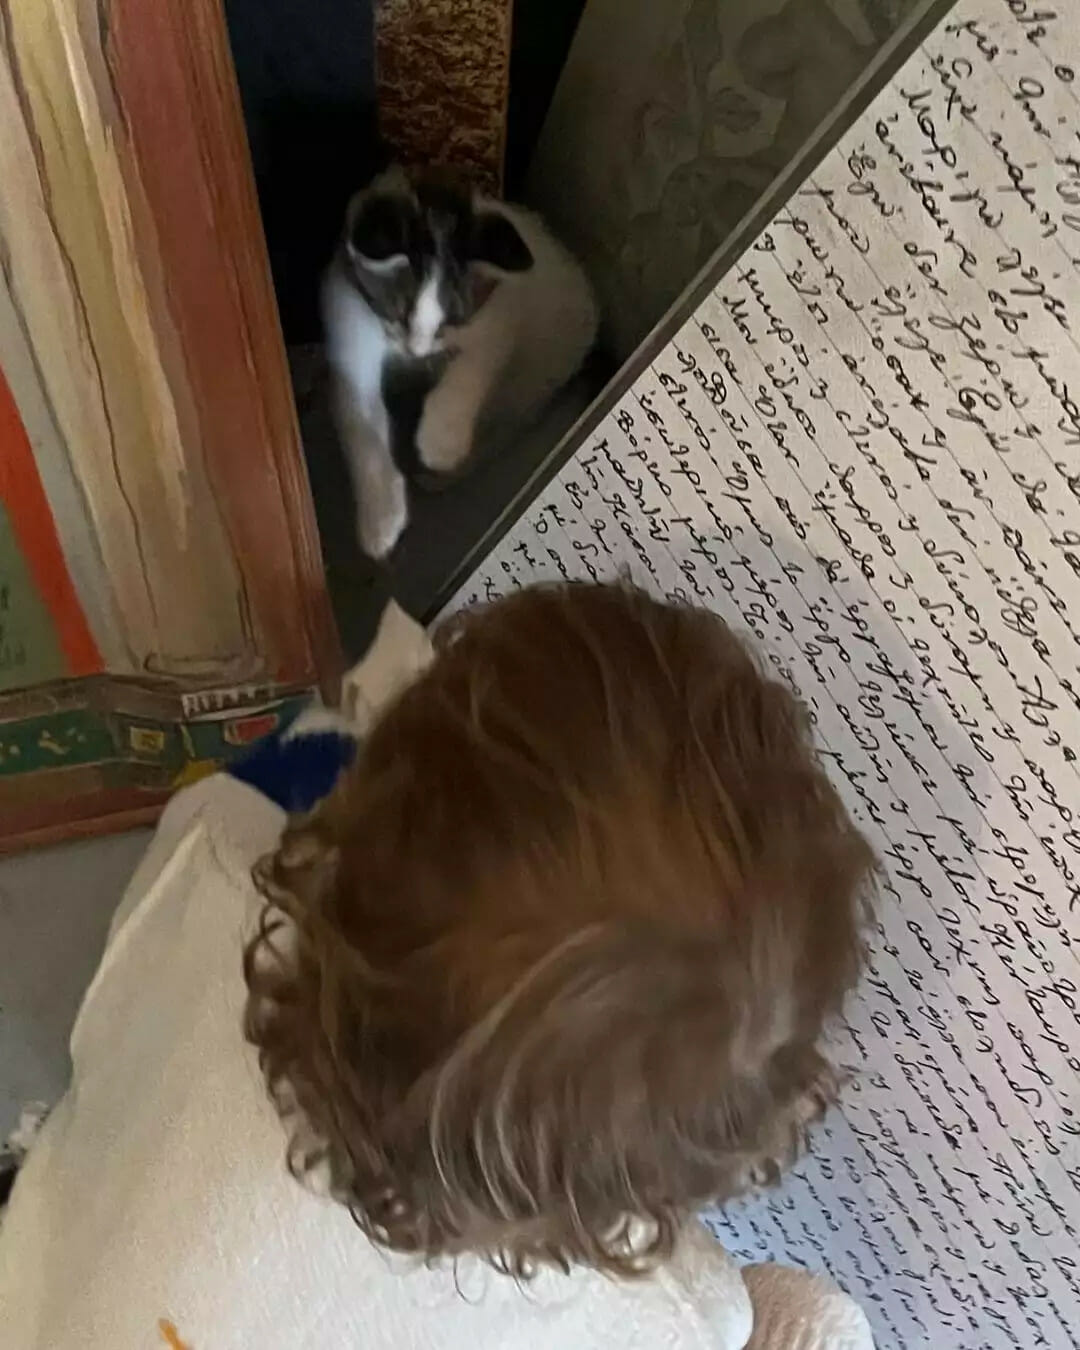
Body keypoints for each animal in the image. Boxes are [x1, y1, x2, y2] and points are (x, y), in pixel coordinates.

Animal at [321, 167, 599, 558]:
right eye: (399, 313)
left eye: (449, 321)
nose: (416, 351)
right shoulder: (348, 316)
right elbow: (361, 423)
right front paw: (381, 520)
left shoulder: (496, 315)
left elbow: (474, 366)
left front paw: (441, 442)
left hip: (530, 377)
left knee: (501, 427)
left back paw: (444, 474)